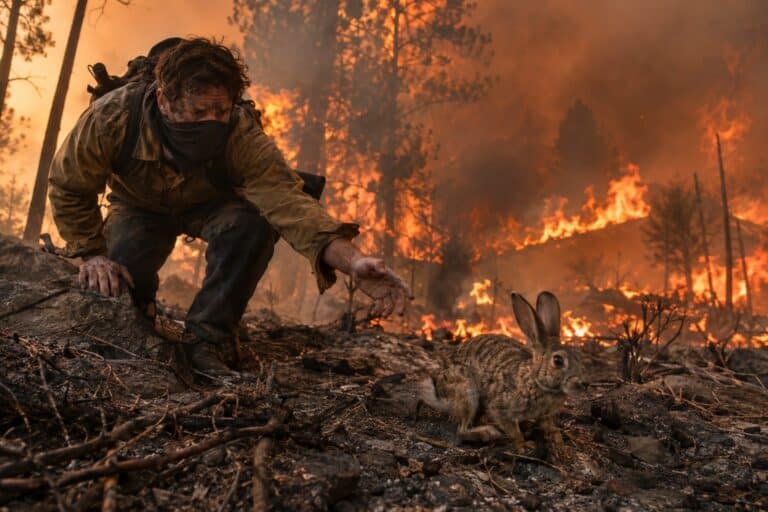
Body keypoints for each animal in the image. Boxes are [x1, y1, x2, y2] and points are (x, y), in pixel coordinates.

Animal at [418, 291, 585, 456]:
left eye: (578, 357)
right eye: (558, 361)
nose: (583, 384)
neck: (534, 380)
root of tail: (440, 392)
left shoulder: (545, 415)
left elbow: (551, 428)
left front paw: (560, 447)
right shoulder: (501, 409)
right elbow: (514, 431)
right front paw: (524, 447)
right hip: (467, 392)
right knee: (462, 430)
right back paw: (489, 433)